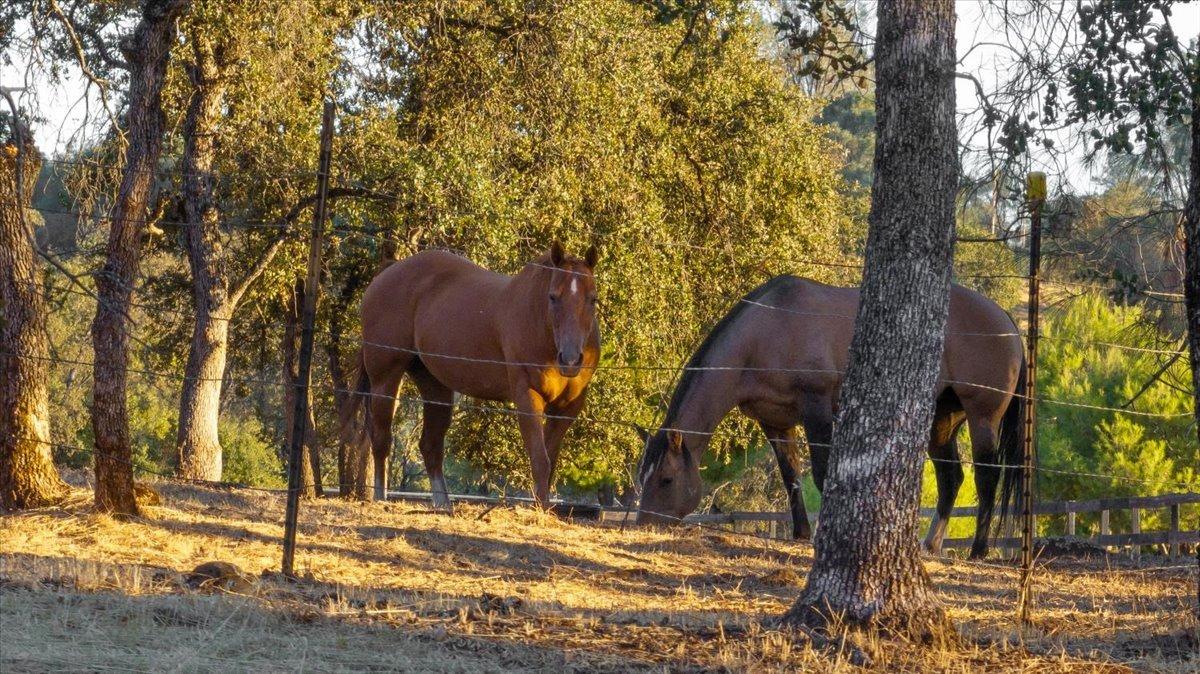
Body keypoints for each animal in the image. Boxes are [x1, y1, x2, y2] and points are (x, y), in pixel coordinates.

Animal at [343, 243, 600, 506]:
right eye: (553, 297)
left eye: (593, 298)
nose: (570, 359)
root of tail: (388, 272)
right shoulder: (528, 397)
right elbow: (540, 459)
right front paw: (541, 509)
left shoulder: (567, 409)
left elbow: (550, 460)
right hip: (385, 377)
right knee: (381, 440)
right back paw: (381, 498)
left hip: (435, 385)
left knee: (430, 445)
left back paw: (444, 505)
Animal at [638, 273, 1022, 556]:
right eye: (641, 477)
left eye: (666, 479)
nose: (645, 524)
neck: (770, 326)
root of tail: (1005, 318)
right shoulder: (775, 421)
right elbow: (791, 477)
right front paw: (801, 533)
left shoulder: (817, 408)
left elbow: (823, 475)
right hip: (942, 421)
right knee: (951, 478)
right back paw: (930, 544)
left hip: (982, 416)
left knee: (987, 478)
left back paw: (978, 550)